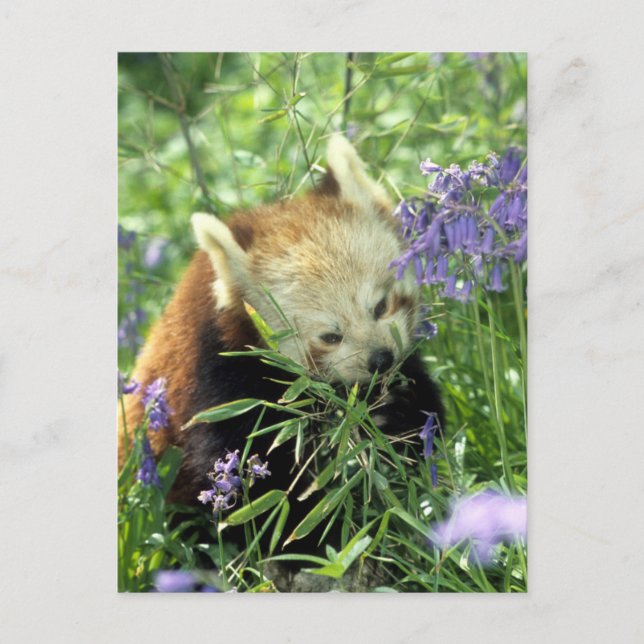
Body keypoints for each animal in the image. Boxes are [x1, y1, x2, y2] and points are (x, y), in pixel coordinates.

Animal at [119, 135, 444, 574]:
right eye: (330, 336)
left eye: (380, 306)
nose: (380, 360)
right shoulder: (217, 385)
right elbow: (252, 483)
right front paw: (307, 543)